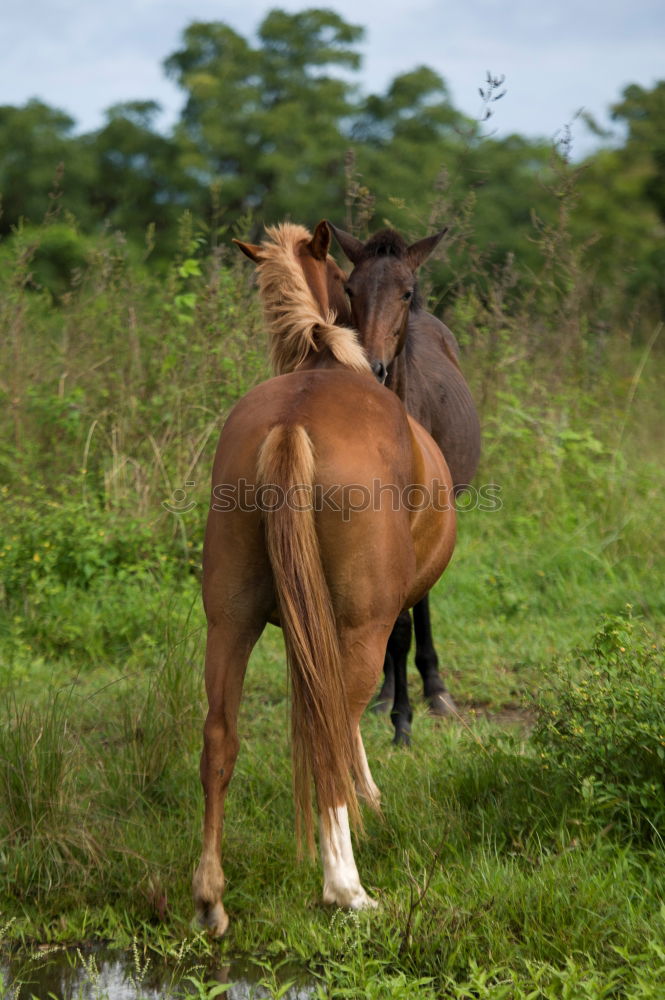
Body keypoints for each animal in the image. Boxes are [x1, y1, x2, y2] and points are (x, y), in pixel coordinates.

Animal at [189, 223, 454, 932]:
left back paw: (210, 897)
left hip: (229, 623)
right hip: (358, 624)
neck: (324, 362)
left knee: (220, 737)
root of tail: (291, 423)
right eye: (350, 283)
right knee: (332, 727)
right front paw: (371, 800)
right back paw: (346, 888)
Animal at [326, 223, 478, 748]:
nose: (371, 367)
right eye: (350, 290)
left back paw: (435, 689)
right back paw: (387, 690)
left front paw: (405, 721)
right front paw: (390, 704)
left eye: (406, 292)